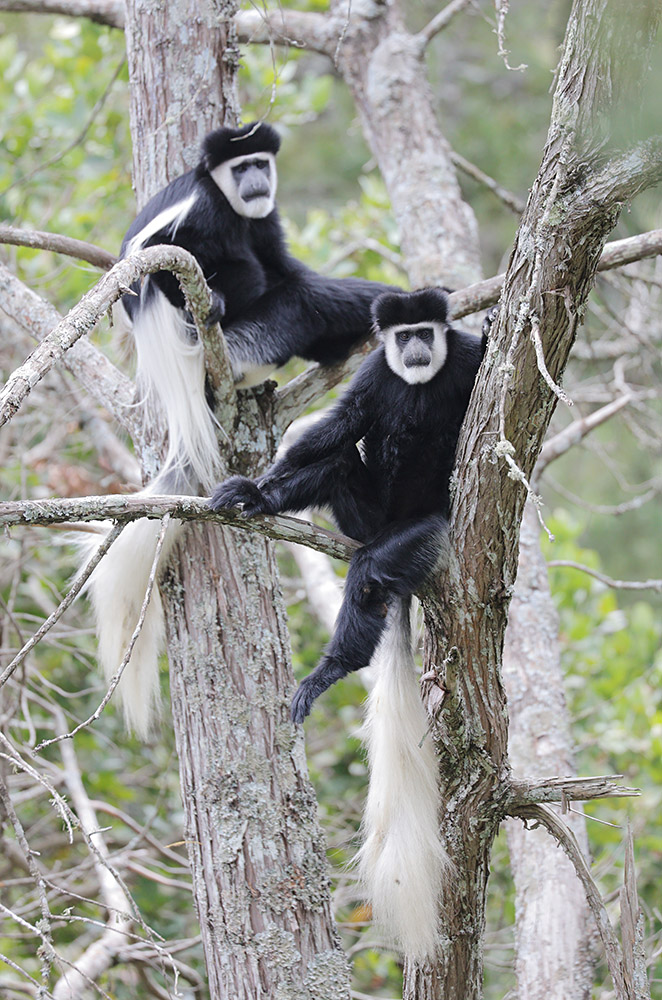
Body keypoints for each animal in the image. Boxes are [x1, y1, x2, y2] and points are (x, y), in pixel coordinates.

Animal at [82, 123, 394, 736]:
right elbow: (160, 261)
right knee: (290, 298)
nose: (255, 182)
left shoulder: (263, 217)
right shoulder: (200, 209)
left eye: (260, 164)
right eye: (241, 166)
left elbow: (283, 261)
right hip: (242, 340)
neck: (229, 201)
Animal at [213, 288, 492, 960]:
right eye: (402, 337)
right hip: (360, 514)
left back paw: (334, 667)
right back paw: (260, 501)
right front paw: (261, 485)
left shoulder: (463, 359)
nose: (414, 349)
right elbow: (341, 427)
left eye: (425, 332)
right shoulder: (372, 374)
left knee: (370, 572)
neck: (419, 381)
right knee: (337, 462)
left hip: (415, 531)